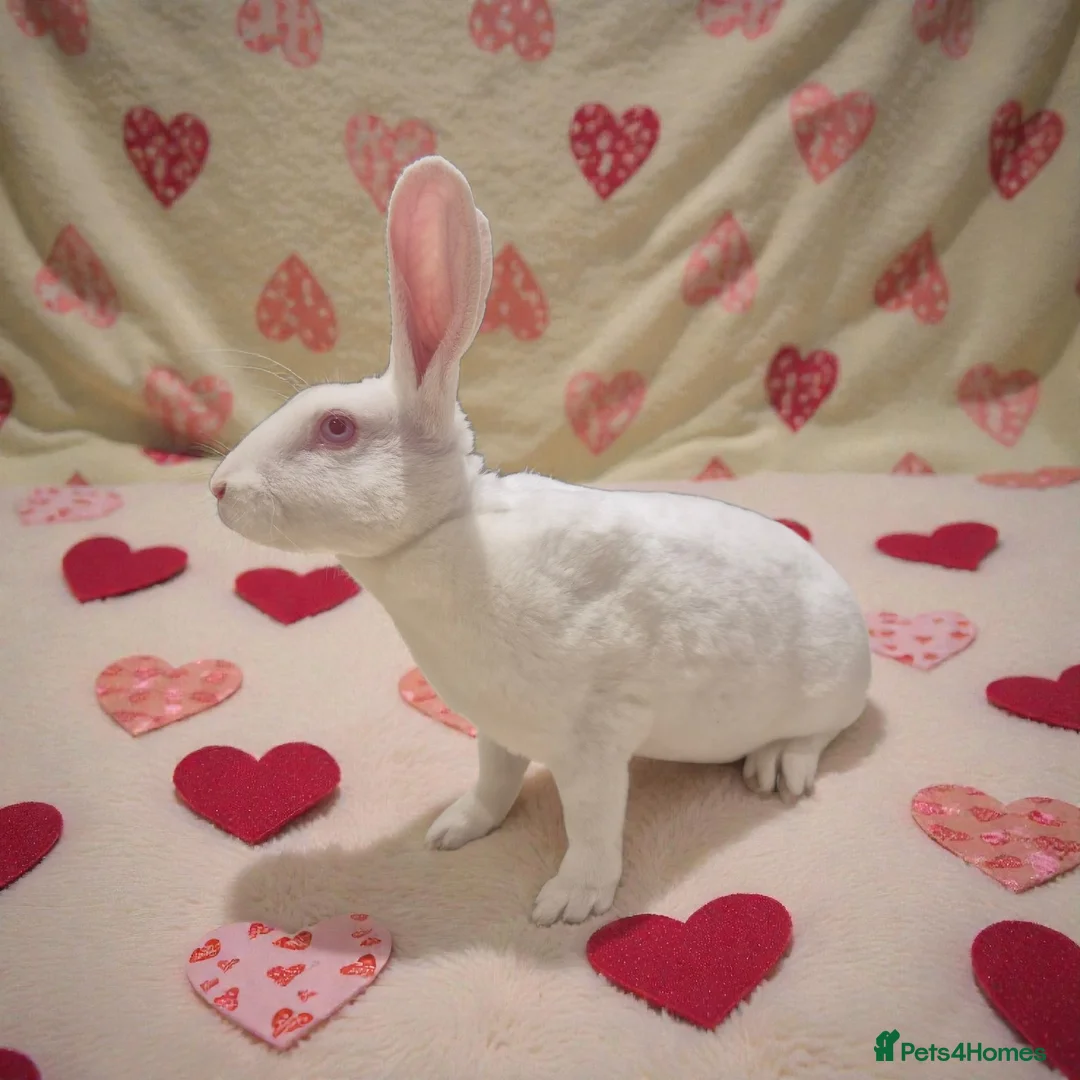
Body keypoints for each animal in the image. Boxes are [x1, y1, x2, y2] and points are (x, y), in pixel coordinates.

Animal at [210, 155, 872, 926]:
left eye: (337, 428)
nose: (218, 487)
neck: (452, 534)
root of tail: (858, 623)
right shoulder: (496, 731)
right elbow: (494, 785)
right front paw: (454, 830)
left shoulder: (596, 741)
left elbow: (591, 826)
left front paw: (568, 903)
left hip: (826, 691)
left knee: (822, 733)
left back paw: (778, 768)